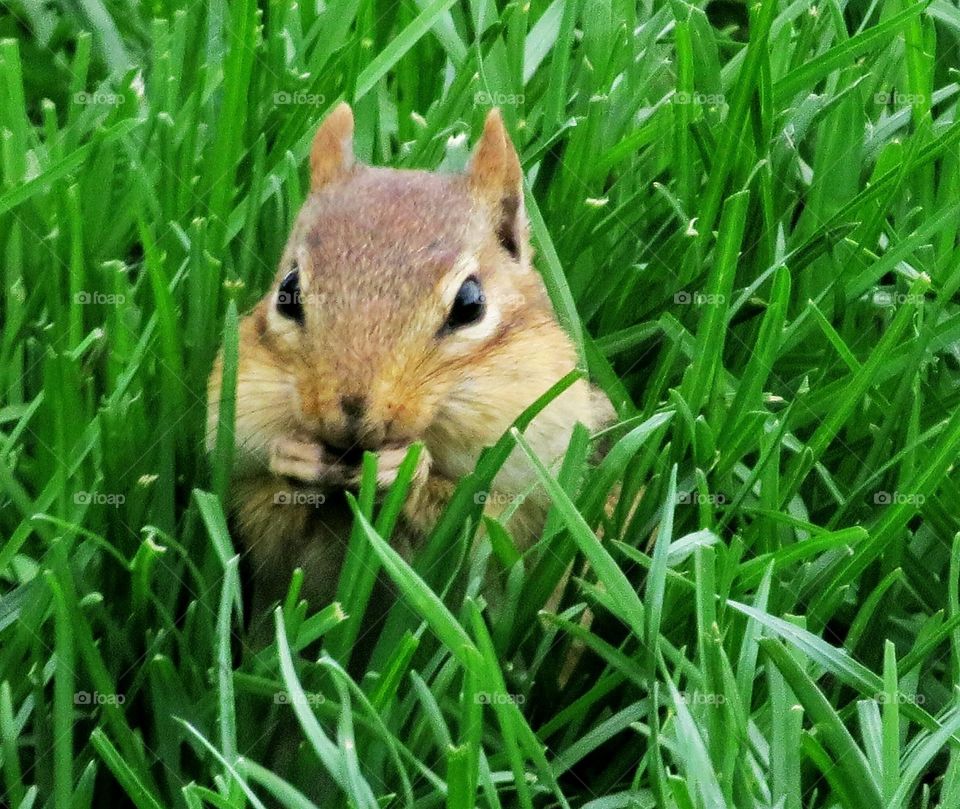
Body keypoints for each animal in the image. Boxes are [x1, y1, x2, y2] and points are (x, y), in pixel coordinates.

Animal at [207, 103, 614, 618]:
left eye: (470, 304)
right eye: (287, 291)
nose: (351, 412)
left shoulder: (535, 494)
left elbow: (484, 529)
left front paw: (405, 471)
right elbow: (263, 520)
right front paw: (293, 457)